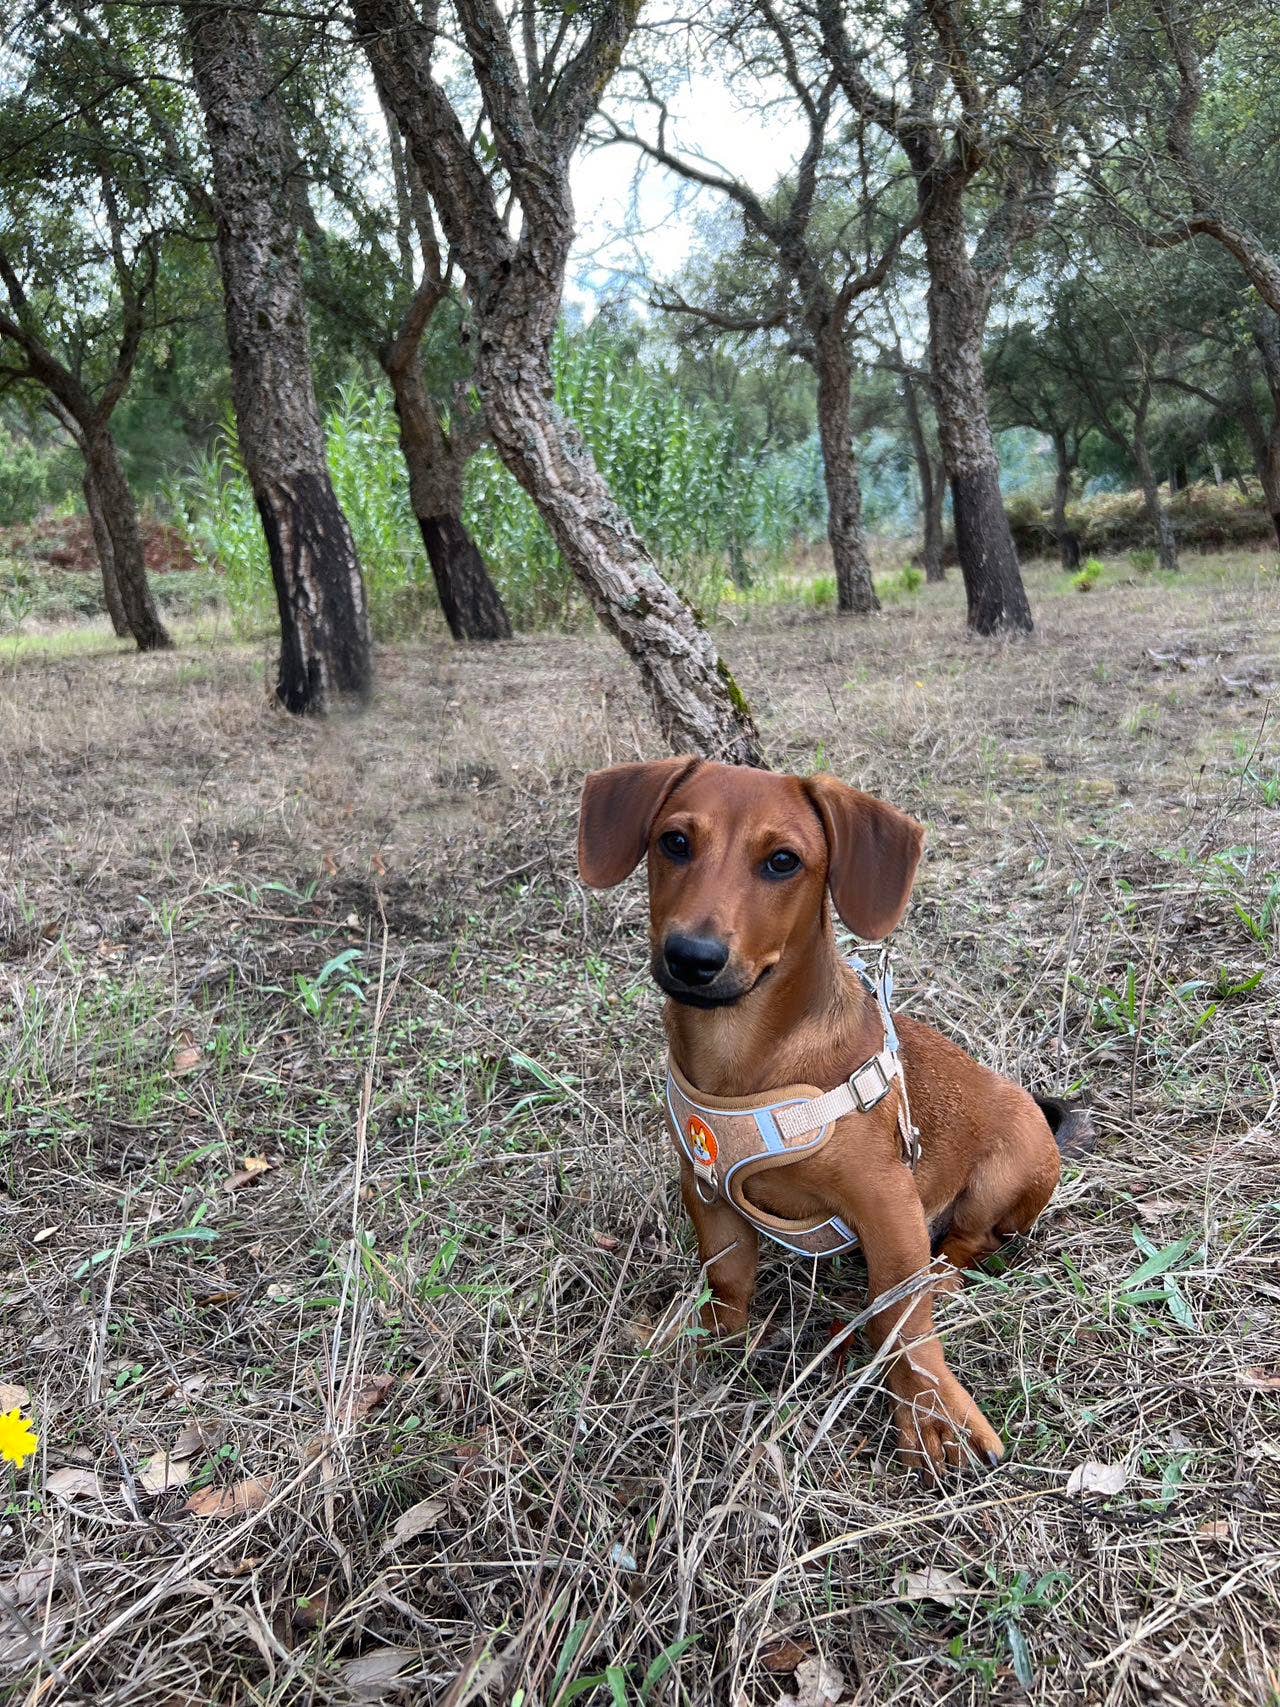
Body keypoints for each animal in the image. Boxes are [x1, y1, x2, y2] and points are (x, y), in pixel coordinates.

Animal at [580, 754, 1085, 1474]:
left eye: (783, 861)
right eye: (673, 842)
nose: (691, 958)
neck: (746, 1058)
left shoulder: (887, 1203)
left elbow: (903, 1318)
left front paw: (930, 1407)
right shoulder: (706, 1190)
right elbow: (727, 1280)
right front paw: (705, 1334)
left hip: (1004, 1173)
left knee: (972, 1243)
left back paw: (942, 1277)